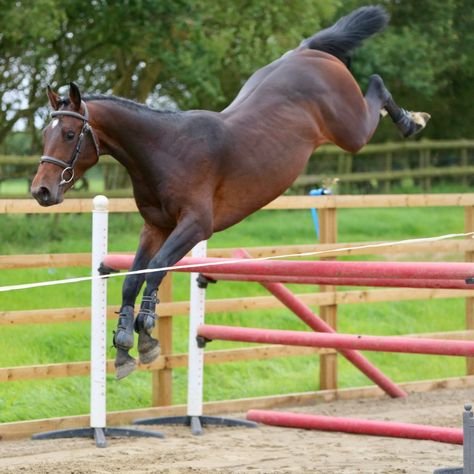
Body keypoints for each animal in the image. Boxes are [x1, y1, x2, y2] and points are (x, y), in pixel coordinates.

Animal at [29, 5, 430, 380]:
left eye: (69, 135)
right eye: (45, 134)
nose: (41, 191)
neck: (164, 150)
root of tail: (307, 52)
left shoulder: (195, 226)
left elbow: (156, 269)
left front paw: (145, 334)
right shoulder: (156, 227)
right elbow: (133, 278)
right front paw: (126, 344)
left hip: (351, 131)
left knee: (376, 85)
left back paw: (412, 121)